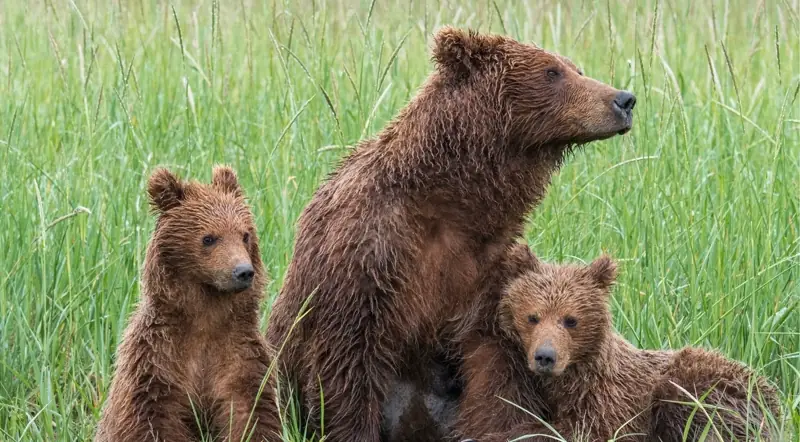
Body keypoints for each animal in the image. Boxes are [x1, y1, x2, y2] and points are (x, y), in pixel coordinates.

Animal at [94, 166, 282, 442]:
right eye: (209, 238)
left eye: (245, 235)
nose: (244, 272)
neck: (206, 314)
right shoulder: (157, 361)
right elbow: (152, 419)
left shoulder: (239, 355)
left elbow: (251, 411)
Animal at [266, 26, 636, 442]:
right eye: (552, 71)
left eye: (576, 68)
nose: (624, 99)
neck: (450, 203)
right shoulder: (367, 253)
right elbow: (347, 363)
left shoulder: (483, 271)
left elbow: (493, 370)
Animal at [456, 252, 780, 442]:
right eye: (532, 317)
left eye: (570, 319)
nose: (545, 356)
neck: (570, 379)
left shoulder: (610, 399)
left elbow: (585, 430)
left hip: (707, 385)